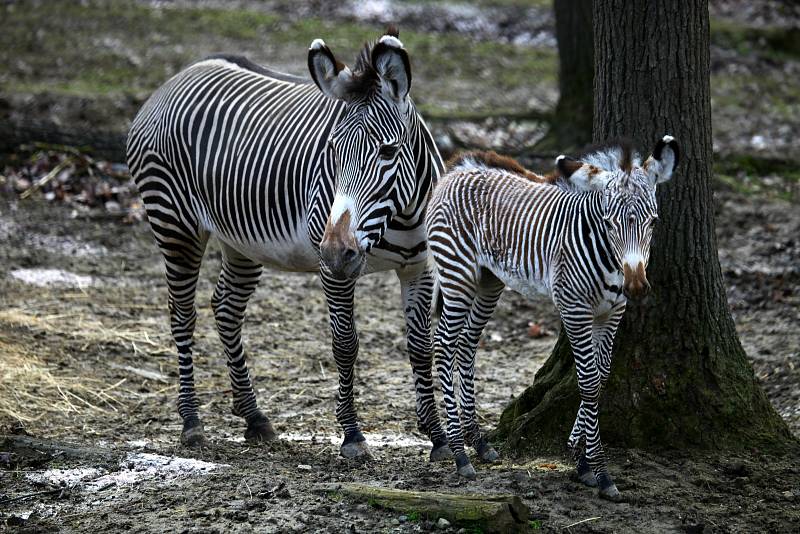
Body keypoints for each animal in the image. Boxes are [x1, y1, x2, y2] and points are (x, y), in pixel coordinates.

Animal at [126, 29, 450, 462]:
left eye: (388, 151)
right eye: (332, 150)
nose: (335, 250)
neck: (402, 213)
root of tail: (175, 80)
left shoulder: (418, 267)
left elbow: (420, 348)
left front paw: (438, 436)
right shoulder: (335, 272)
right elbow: (345, 344)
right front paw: (352, 435)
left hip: (242, 239)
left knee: (226, 309)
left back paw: (253, 416)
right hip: (175, 222)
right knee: (182, 315)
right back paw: (192, 421)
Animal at [428, 138, 680, 502]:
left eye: (654, 222)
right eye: (609, 223)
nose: (635, 286)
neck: (606, 255)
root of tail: (455, 172)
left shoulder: (612, 313)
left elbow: (601, 378)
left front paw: (581, 457)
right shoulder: (573, 308)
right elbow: (587, 381)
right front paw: (599, 471)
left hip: (489, 281)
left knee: (466, 345)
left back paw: (479, 442)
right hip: (457, 273)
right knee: (445, 344)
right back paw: (460, 454)